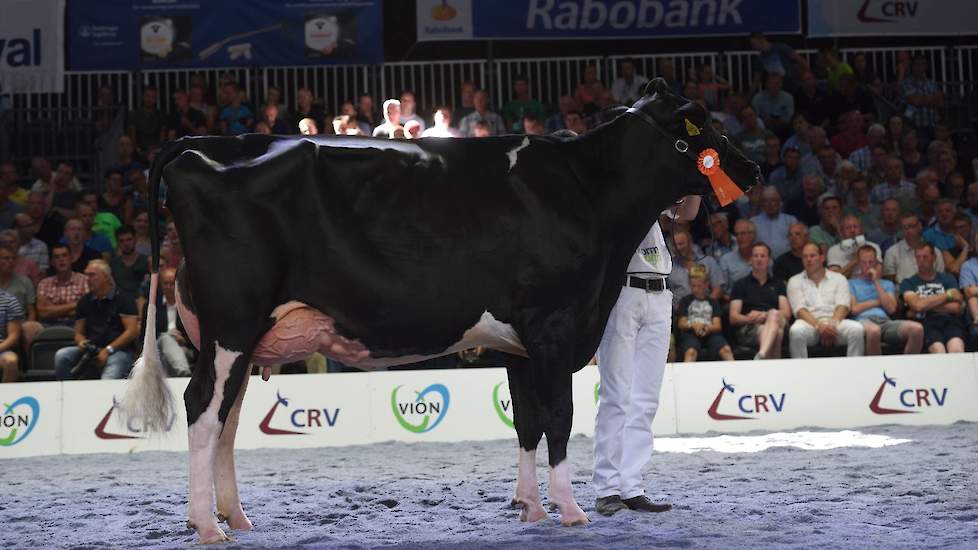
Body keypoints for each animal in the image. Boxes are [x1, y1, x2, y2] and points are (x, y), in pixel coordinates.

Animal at [122, 80, 760, 544]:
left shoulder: (518, 342)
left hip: (239, 335)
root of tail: (203, 144)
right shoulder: (555, 325)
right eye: (710, 124)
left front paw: (532, 509)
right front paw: (571, 510)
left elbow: (526, 423)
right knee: (203, 409)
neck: (588, 189)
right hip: (233, 323)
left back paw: (235, 517)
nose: (753, 169)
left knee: (225, 421)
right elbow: (558, 420)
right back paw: (207, 527)